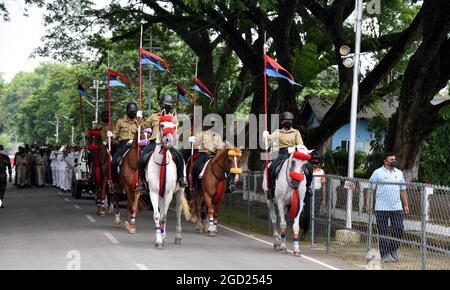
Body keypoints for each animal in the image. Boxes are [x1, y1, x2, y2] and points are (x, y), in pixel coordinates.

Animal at [147, 115, 191, 249]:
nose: (168, 140)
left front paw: (161, 238)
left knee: (177, 213)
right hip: (161, 195)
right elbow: (158, 216)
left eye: (174, 126)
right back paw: (163, 235)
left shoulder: (169, 193)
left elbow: (164, 217)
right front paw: (159, 240)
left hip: (179, 192)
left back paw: (177, 236)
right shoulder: (154, 192)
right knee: (162, 211)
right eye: (161, 125)